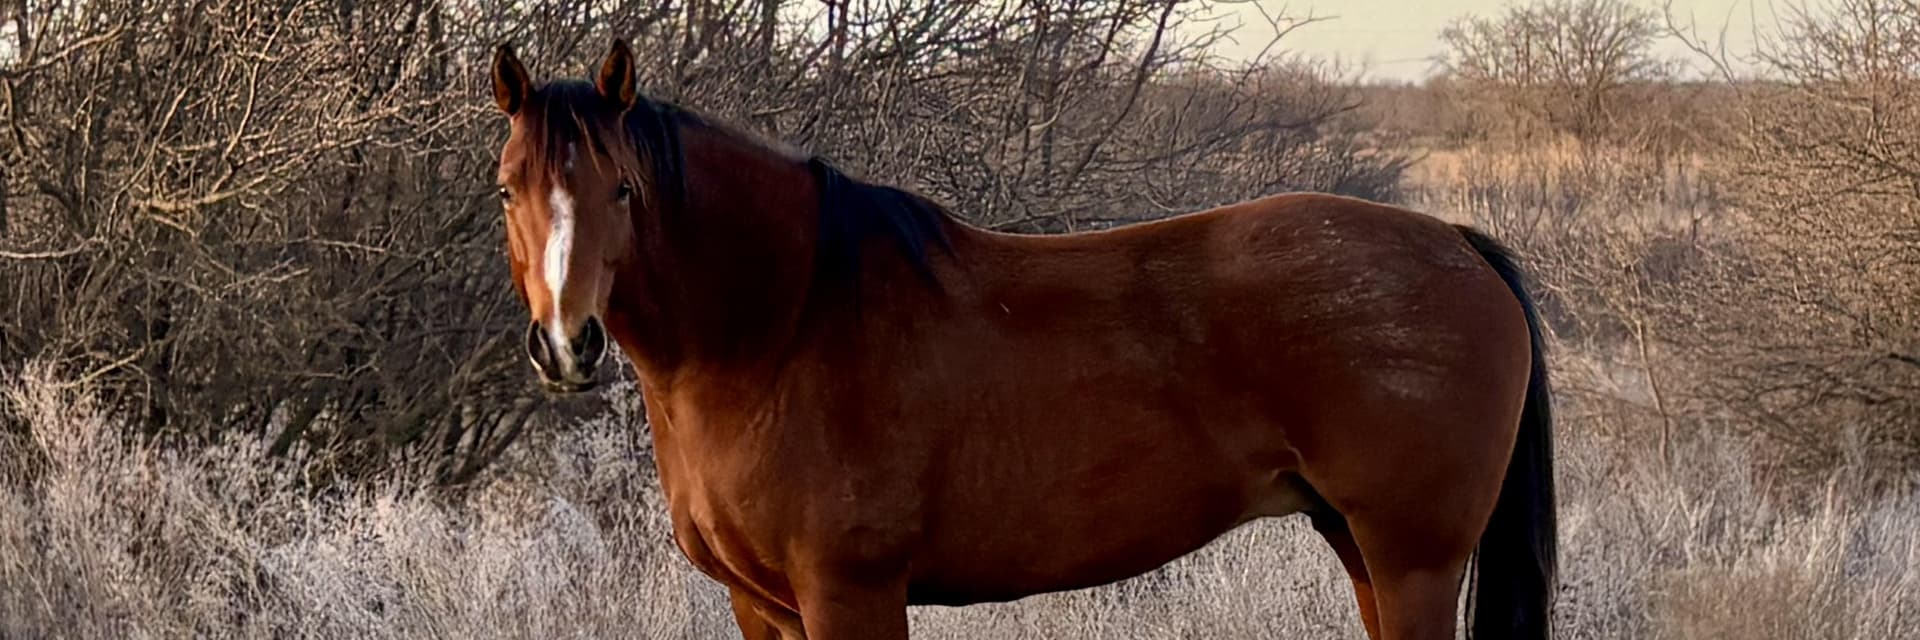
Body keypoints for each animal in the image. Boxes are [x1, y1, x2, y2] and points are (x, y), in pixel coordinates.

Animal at [488, 39, 1556, 640]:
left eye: (624, 188)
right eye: (506, 188)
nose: (568, 345)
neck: (780, 328)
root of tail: (1455, 242)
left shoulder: (851, 595)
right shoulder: (765, 607)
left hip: (1412, 558)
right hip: (1358, 545)